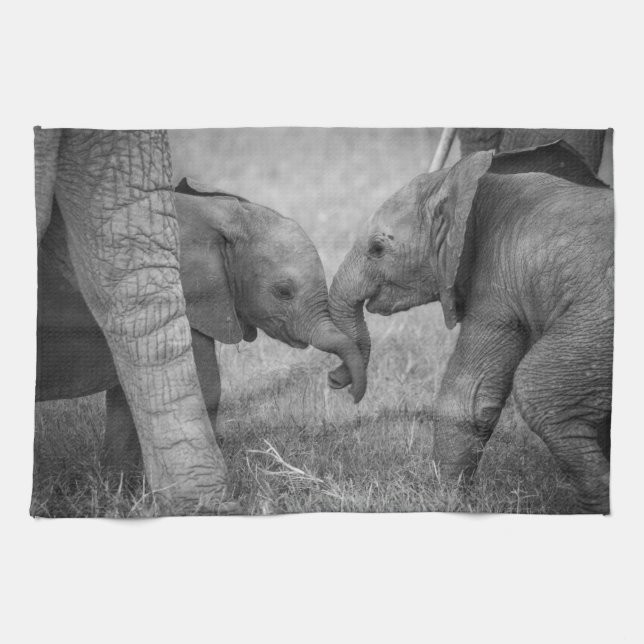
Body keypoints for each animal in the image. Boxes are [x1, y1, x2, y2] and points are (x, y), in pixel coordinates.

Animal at [37, 177, 366, 476]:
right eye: (284, 292)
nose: (337, 382)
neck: (218, 212)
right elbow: (204, 388)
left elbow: (128, 397)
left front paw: (119, 485)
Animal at [327, 140, 613, 513]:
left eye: (377, 248)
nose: (335, 382)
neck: (461, 183)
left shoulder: (495, 286)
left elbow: (466, 397)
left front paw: (445, 500)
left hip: (601, 317)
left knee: (539, 390)